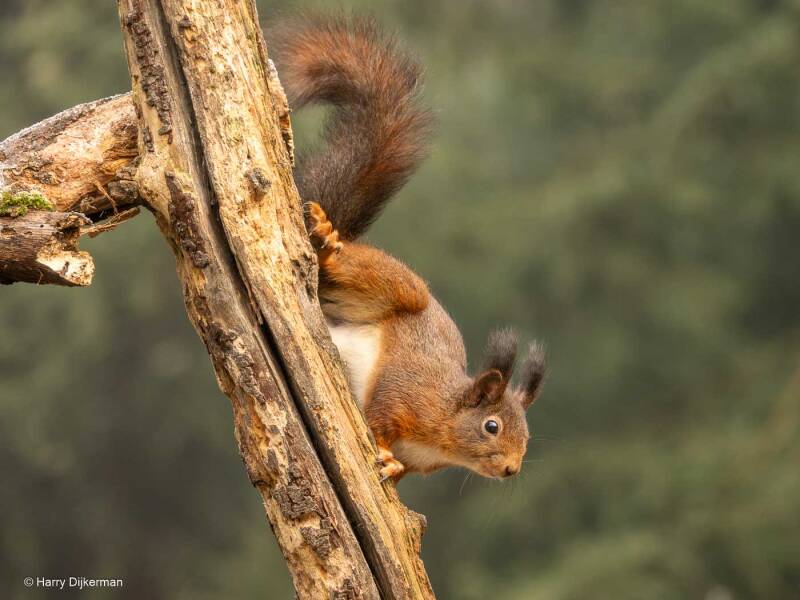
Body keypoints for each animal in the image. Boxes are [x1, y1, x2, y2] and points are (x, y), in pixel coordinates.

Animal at [272, 15, 546, 482]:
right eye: (491, 426)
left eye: (526, 435)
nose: (512, 469)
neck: (442, 431)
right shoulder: (404, 391)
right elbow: (382, 412)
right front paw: (384, 452)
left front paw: (394, 466)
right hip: (401, 288)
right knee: (338, 267)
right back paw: (326, 240)